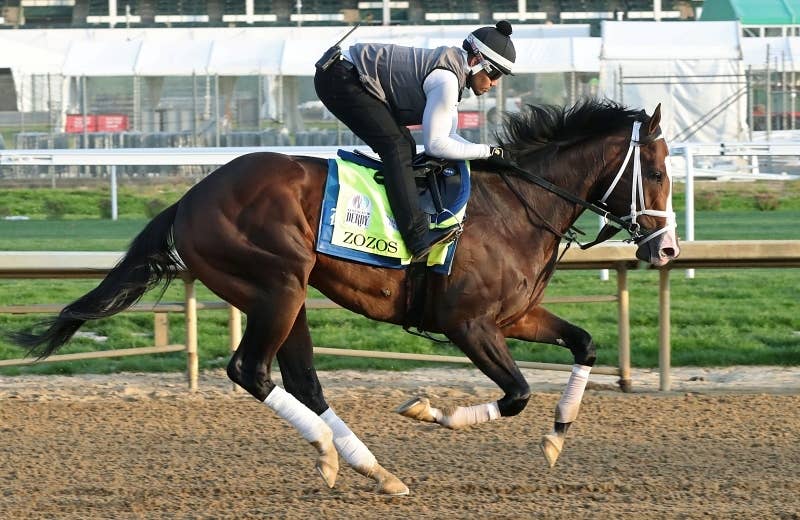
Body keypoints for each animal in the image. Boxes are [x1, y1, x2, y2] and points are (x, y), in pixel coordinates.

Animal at [11, 99, 679, 496]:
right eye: (657, 170)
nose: (667, 249)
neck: (518, 206)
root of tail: (190, 197)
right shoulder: (467, 324)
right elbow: (515, 394)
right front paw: (429, 410)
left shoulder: (514, 316)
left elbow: (584, 344)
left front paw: (557, 435)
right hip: (276, 284)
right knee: (251, 369)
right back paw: (332, 454)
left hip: (288, 294)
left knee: (302, 379)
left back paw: (371, 467)